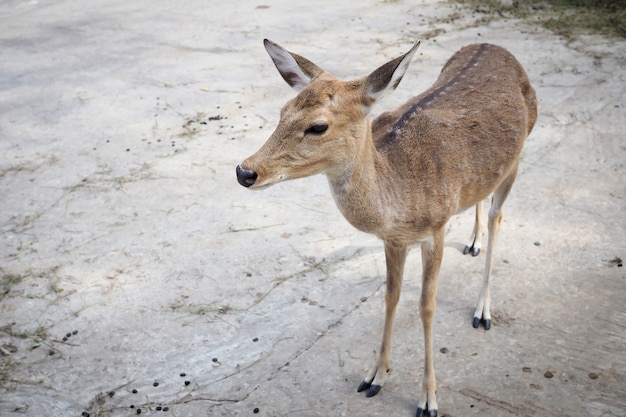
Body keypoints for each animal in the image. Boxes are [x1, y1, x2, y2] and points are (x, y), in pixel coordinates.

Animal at [235, 39, 536, 416]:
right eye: (282, 111)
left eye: (318, 127)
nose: (245, 171)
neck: (399, 197)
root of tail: (491, 44)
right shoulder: (394, 240)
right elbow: (391, 296)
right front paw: (374, 376)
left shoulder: (435, 229)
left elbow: (426, 306)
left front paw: (428, 399)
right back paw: (472, 241)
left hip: (519, 152)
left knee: (498, 216)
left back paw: (483, 310)